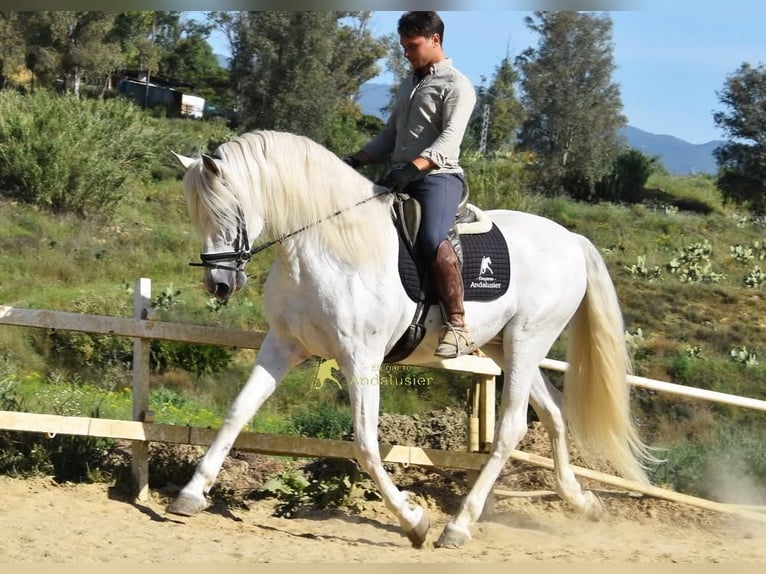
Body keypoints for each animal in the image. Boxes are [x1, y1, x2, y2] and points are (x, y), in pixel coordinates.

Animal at [168, 129, 655, 549]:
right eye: (194, 215)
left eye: (227, 211)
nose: (219, 285)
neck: (327, 246)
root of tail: (571, 239)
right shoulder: (284, 345)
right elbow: (236, 414)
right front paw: (190, 495)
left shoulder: (361, 358)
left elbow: (365, 443)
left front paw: (414, 521)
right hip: (506, 347)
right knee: (553, 412)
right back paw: (583, 502)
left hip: (527, 341)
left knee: (512, 428)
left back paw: (457, 527)